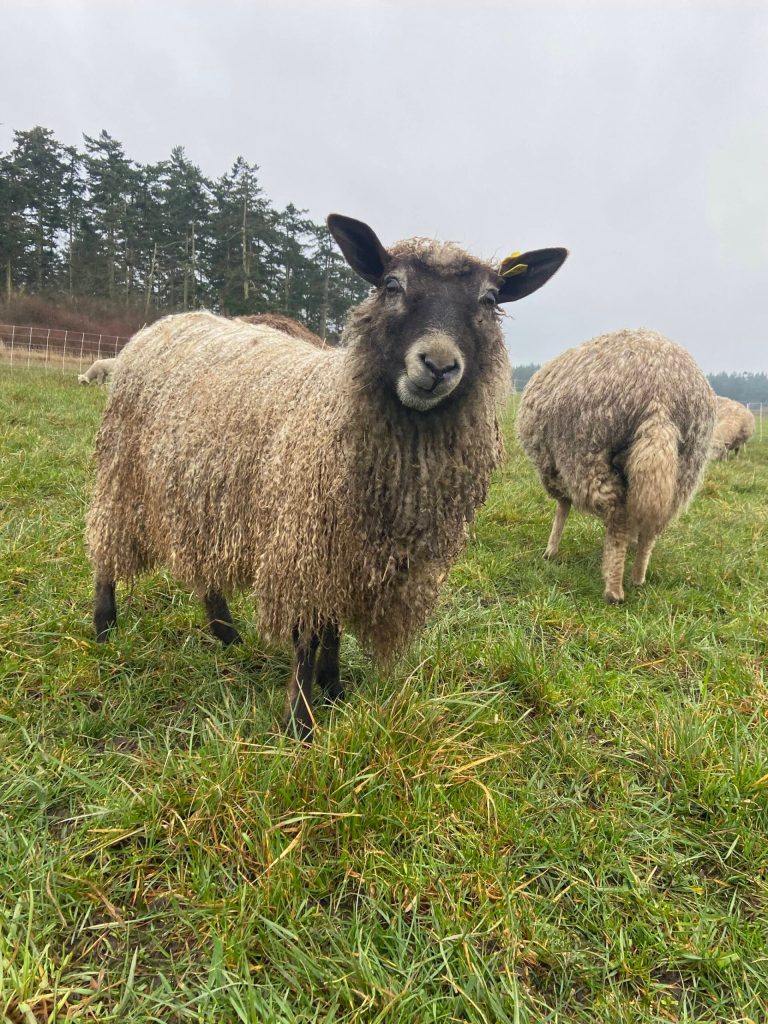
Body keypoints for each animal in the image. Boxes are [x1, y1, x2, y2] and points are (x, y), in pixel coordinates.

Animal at [86, 213, 567, 739]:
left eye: (489, 299)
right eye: (392, 285)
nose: (439, 365)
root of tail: (165, 323)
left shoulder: (348, 554)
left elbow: (333, 629)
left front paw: (334, 690)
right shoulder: (306, 543)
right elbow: (307, 636)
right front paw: (300, 721)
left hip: (201, 491)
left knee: (204, 565)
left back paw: (226, 634)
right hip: (122, 471)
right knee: (106, 546)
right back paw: (105, 628)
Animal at [517, 328, 715, 604]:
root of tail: (661, 396)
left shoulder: (552, 466)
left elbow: (562, 507)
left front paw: (551, 550)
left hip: (587, 453)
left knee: (618, 518)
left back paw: (613, 589)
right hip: (684, 467)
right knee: (652, 526)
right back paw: (638, 576)